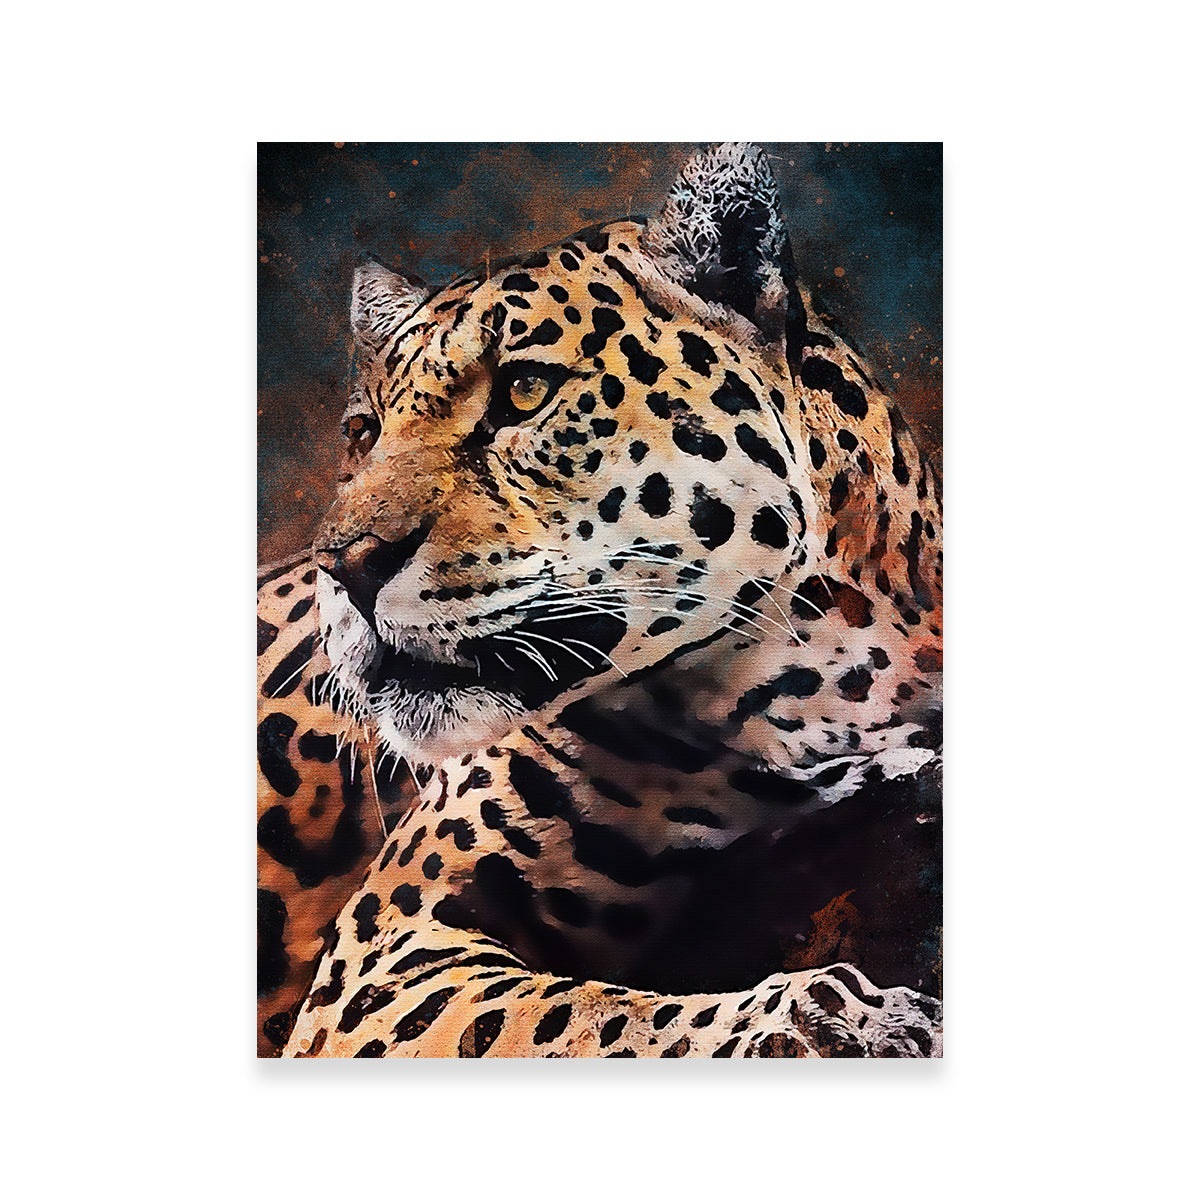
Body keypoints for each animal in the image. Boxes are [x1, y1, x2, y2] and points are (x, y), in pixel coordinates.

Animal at [257, 143, 943, 1058]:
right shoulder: (390, 946)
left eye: (522, 391)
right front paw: (846, 1019)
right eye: (362, 433)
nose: (346, 566)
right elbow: (593, 1018)